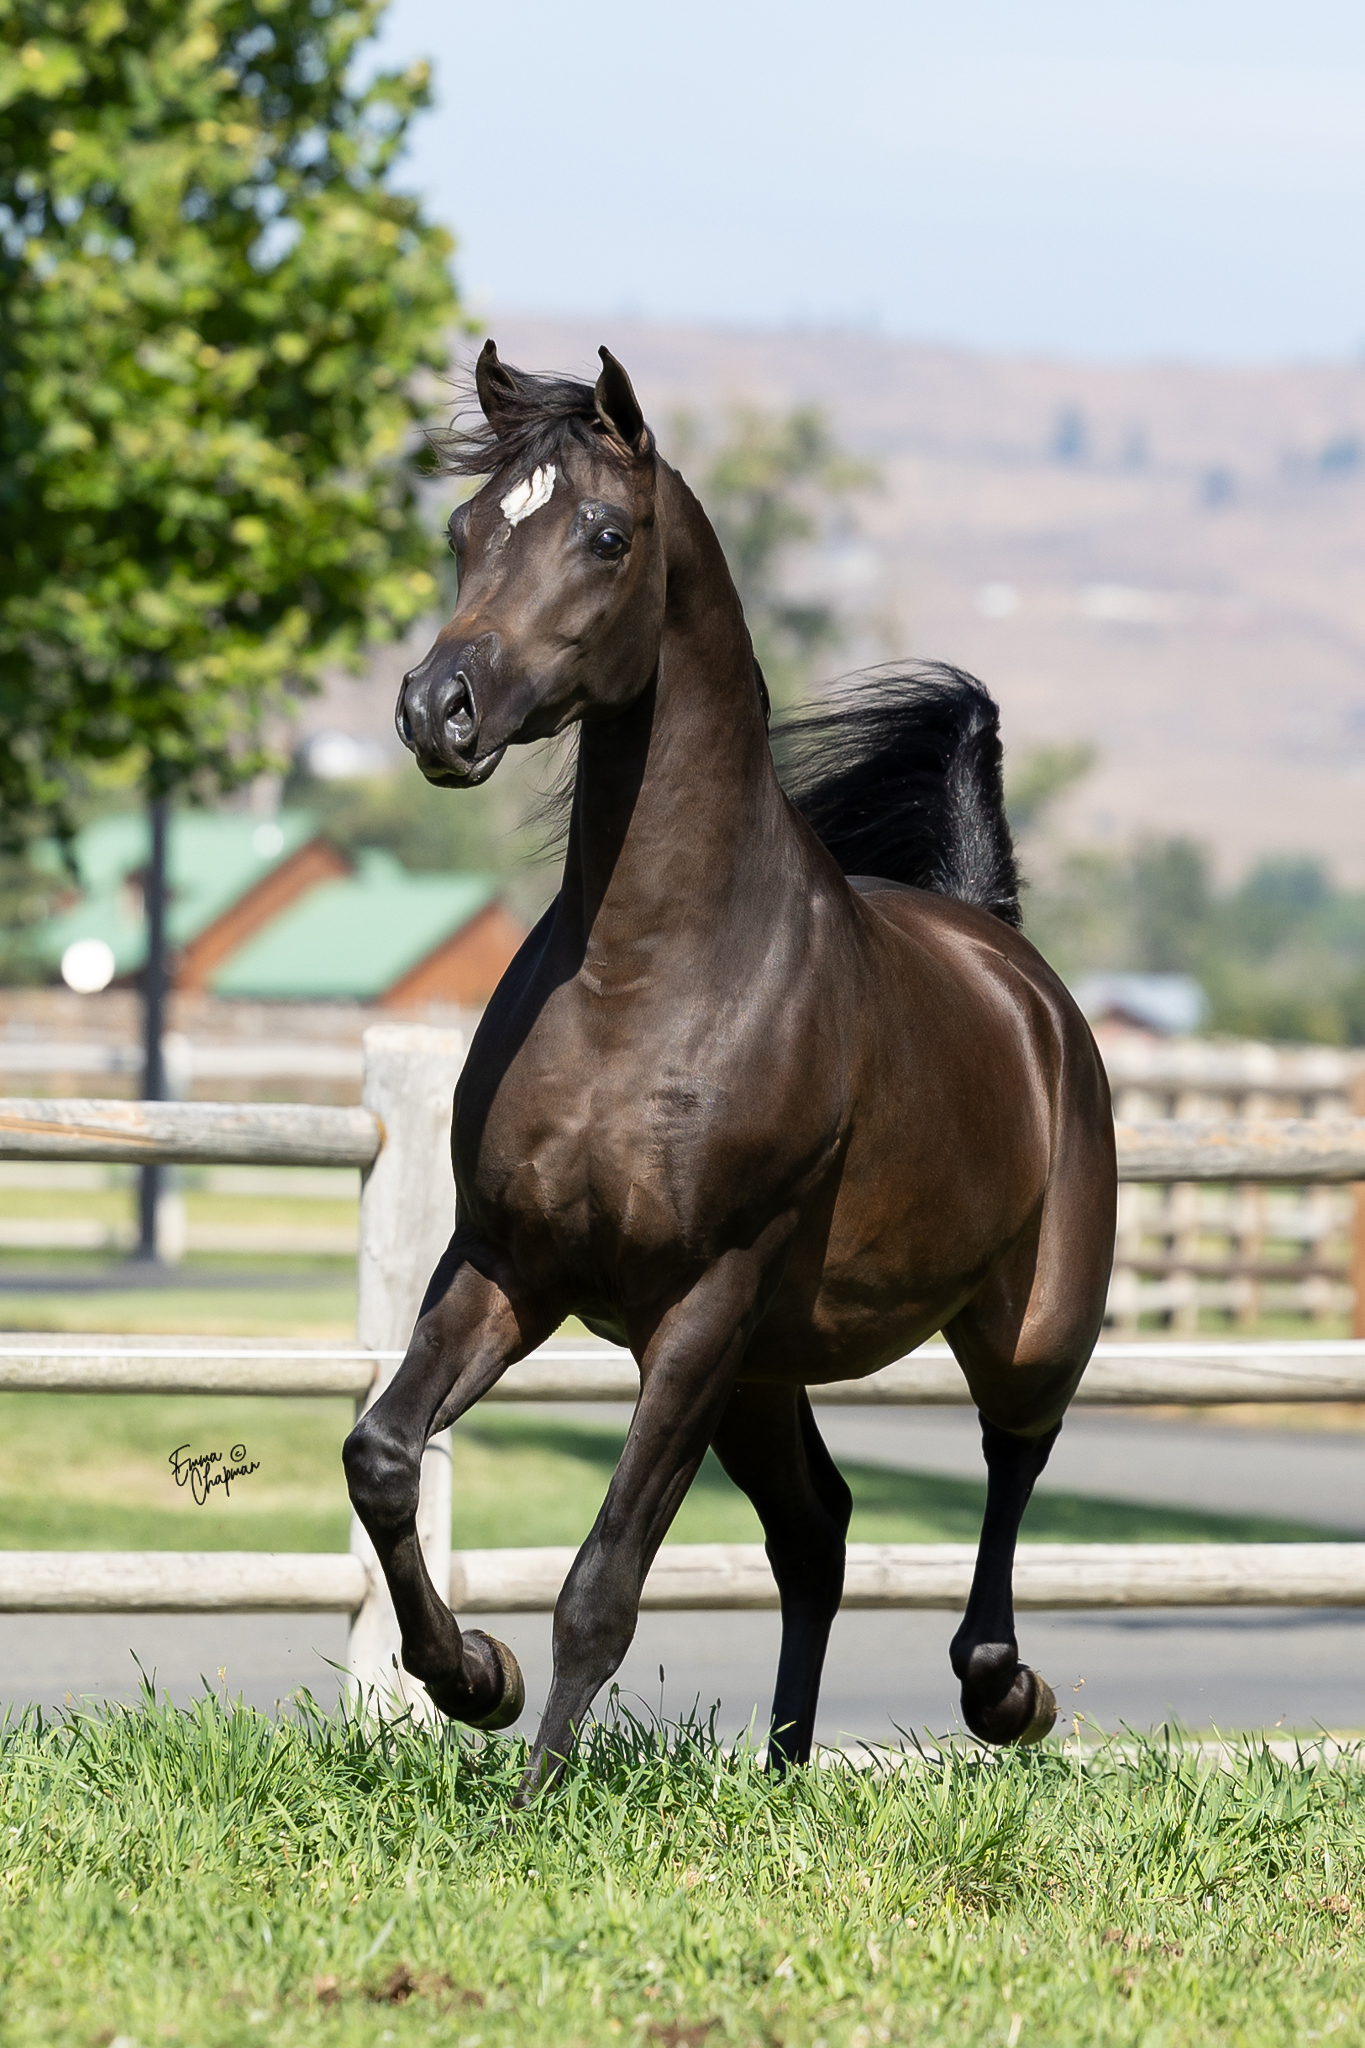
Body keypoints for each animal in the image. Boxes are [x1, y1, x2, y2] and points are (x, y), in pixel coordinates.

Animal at [343, 342, 1117, 1795]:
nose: (436, 711)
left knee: (1011, 1460)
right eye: (463, 531)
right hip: (764, 1371)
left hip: (1025, 1324)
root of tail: (1010, 960)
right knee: (819, 1529)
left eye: (605, 534)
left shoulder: (701, 1301)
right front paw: (471, 1677)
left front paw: (532, 1798)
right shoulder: (509, 1264)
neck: (644, 980)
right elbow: (383, 1455)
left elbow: (602, 1580)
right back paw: (784, 1768)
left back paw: (1007, 1693)